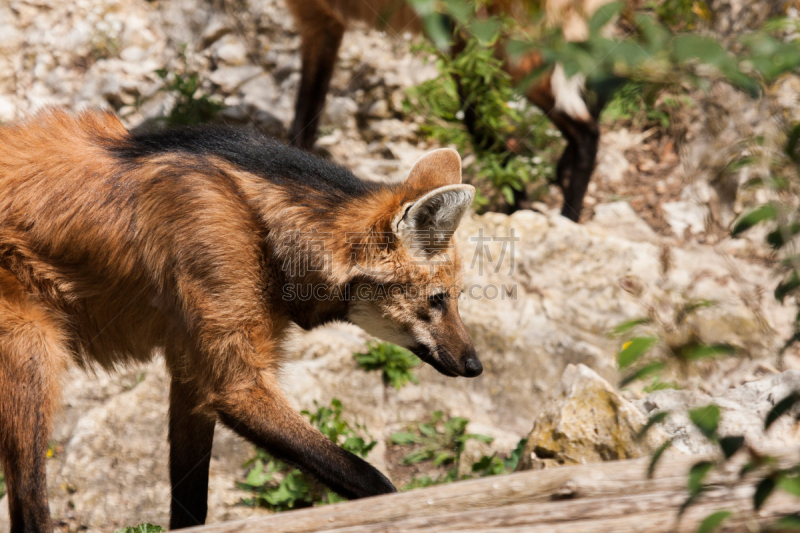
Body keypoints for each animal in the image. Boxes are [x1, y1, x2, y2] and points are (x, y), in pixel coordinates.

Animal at [0, 109, 482, 532]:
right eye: (438, 300)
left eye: (456, 298)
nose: (475, 365)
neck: (265, 230)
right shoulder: (235, 385)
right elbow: (372, 479)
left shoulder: (192, 373)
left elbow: (191, 503)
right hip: (32, 345)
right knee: (30, 511)